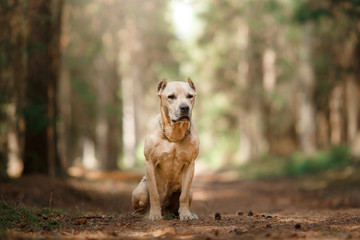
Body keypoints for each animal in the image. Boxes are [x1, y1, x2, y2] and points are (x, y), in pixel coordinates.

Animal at [131, 78, 200, 220]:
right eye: (171, 97)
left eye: (190, 96)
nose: (185, 108)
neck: (174, 134)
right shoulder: (150, 163)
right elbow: (154, 194)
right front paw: (154, 215)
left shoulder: (190, 164)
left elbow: (184, 195)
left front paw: (186, 215)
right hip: (140, 190)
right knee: (140, 208)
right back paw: (144, 215)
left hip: (190, 192)